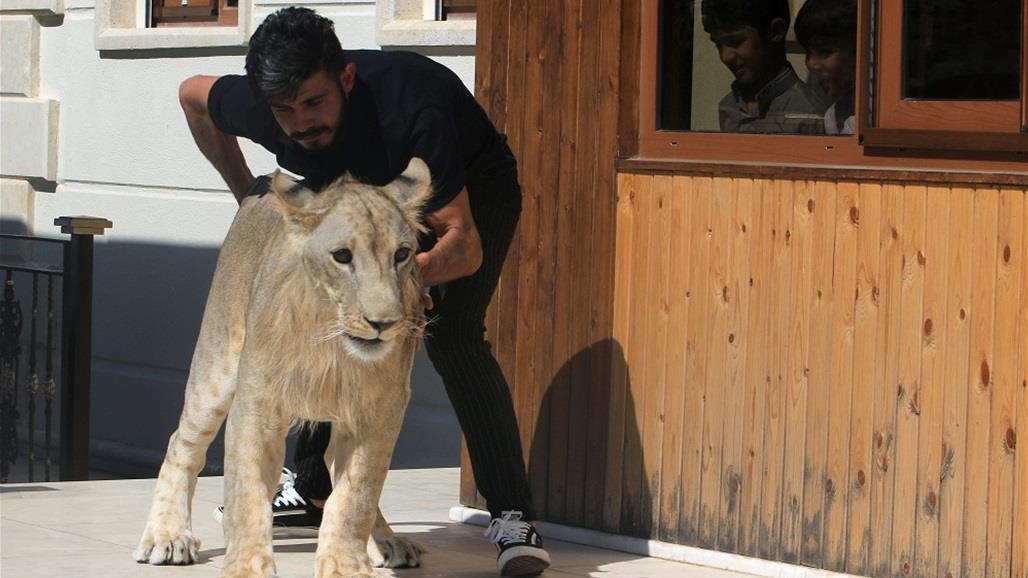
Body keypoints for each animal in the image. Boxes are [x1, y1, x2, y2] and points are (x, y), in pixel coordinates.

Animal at [135, 157, 429, 575]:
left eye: (401, 255)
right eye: (342, 256)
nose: (384, 323)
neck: (331, 342)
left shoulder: (381, 410)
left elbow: (356, 495)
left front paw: (346, 564)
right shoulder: (257, 405)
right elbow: (247, 492)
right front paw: (246, 566)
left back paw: (387, 540)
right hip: (216, 366)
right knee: (183, 443)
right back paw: (167, 535)